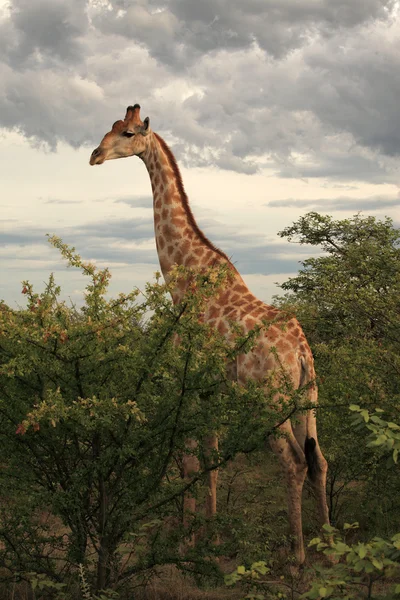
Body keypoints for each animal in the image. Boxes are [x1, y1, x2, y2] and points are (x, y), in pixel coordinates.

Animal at [90, 104, 332, 564]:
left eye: (128, 133)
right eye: (109, 128)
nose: (94, 155)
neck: (183, 279)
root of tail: (301, 352)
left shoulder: (186, 381)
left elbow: (188, 461)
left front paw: (188, 540)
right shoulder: (211, 389)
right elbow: (212, 459)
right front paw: (213, 537)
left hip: (268, 401)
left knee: (294, 462)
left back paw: (297, 556)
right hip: (307, 398)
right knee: (320, 460)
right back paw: (328, 544)